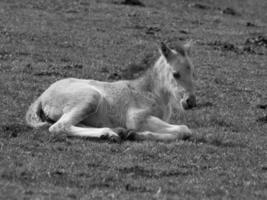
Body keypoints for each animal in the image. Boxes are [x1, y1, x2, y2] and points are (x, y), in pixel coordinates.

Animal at [25, 41, 197, 142]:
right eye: (176, 74)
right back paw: (110, 134)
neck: (150, 92)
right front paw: (134, 134)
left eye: (193, 72)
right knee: (59, 127)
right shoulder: (136, 118)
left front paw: (134, 134)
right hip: (90, 98)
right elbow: (184, 129)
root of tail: (41, 97)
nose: (190, 101)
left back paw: (116, 131)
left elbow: (182, 132)